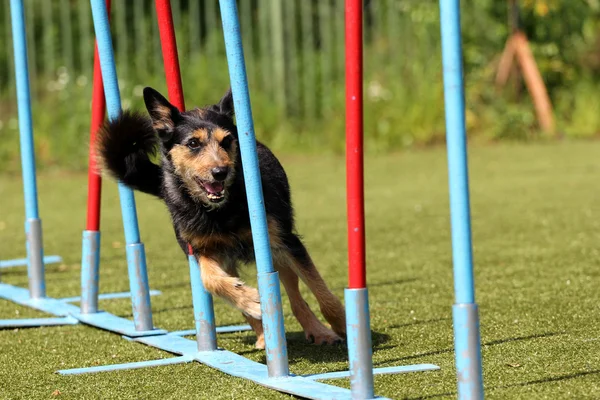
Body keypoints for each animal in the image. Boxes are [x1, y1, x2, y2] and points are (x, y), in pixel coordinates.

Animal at [95, 87, 344, 346]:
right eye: (193, 143)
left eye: (227, 141)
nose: (220, 172)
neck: (220, 210)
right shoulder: (200, 249)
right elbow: (210, 280)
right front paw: (250, 300)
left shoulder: (285, 240)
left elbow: (321, 289)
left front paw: (343, 324)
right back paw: (263, 333)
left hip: (277, 254)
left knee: (296, 297)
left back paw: (318, 331)